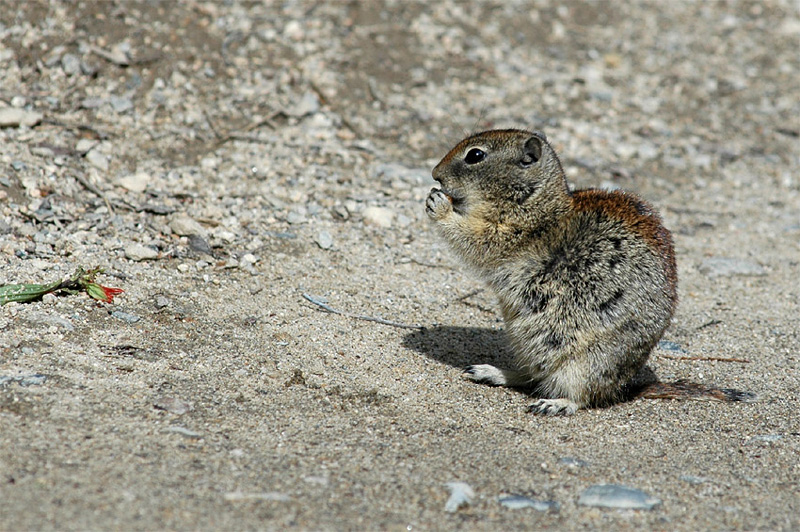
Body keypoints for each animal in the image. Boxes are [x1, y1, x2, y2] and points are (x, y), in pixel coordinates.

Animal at [424, 129, 756, 416]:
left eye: (475, 155)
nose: (435, 174)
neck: (536, 202)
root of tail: (625, 387)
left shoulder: (508, 232)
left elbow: (476, 239)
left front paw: (438, 203)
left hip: (586, 361)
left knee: (580, 395)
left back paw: (555, 403)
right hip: (528, 345)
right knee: (532, 376)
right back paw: (491, 371)